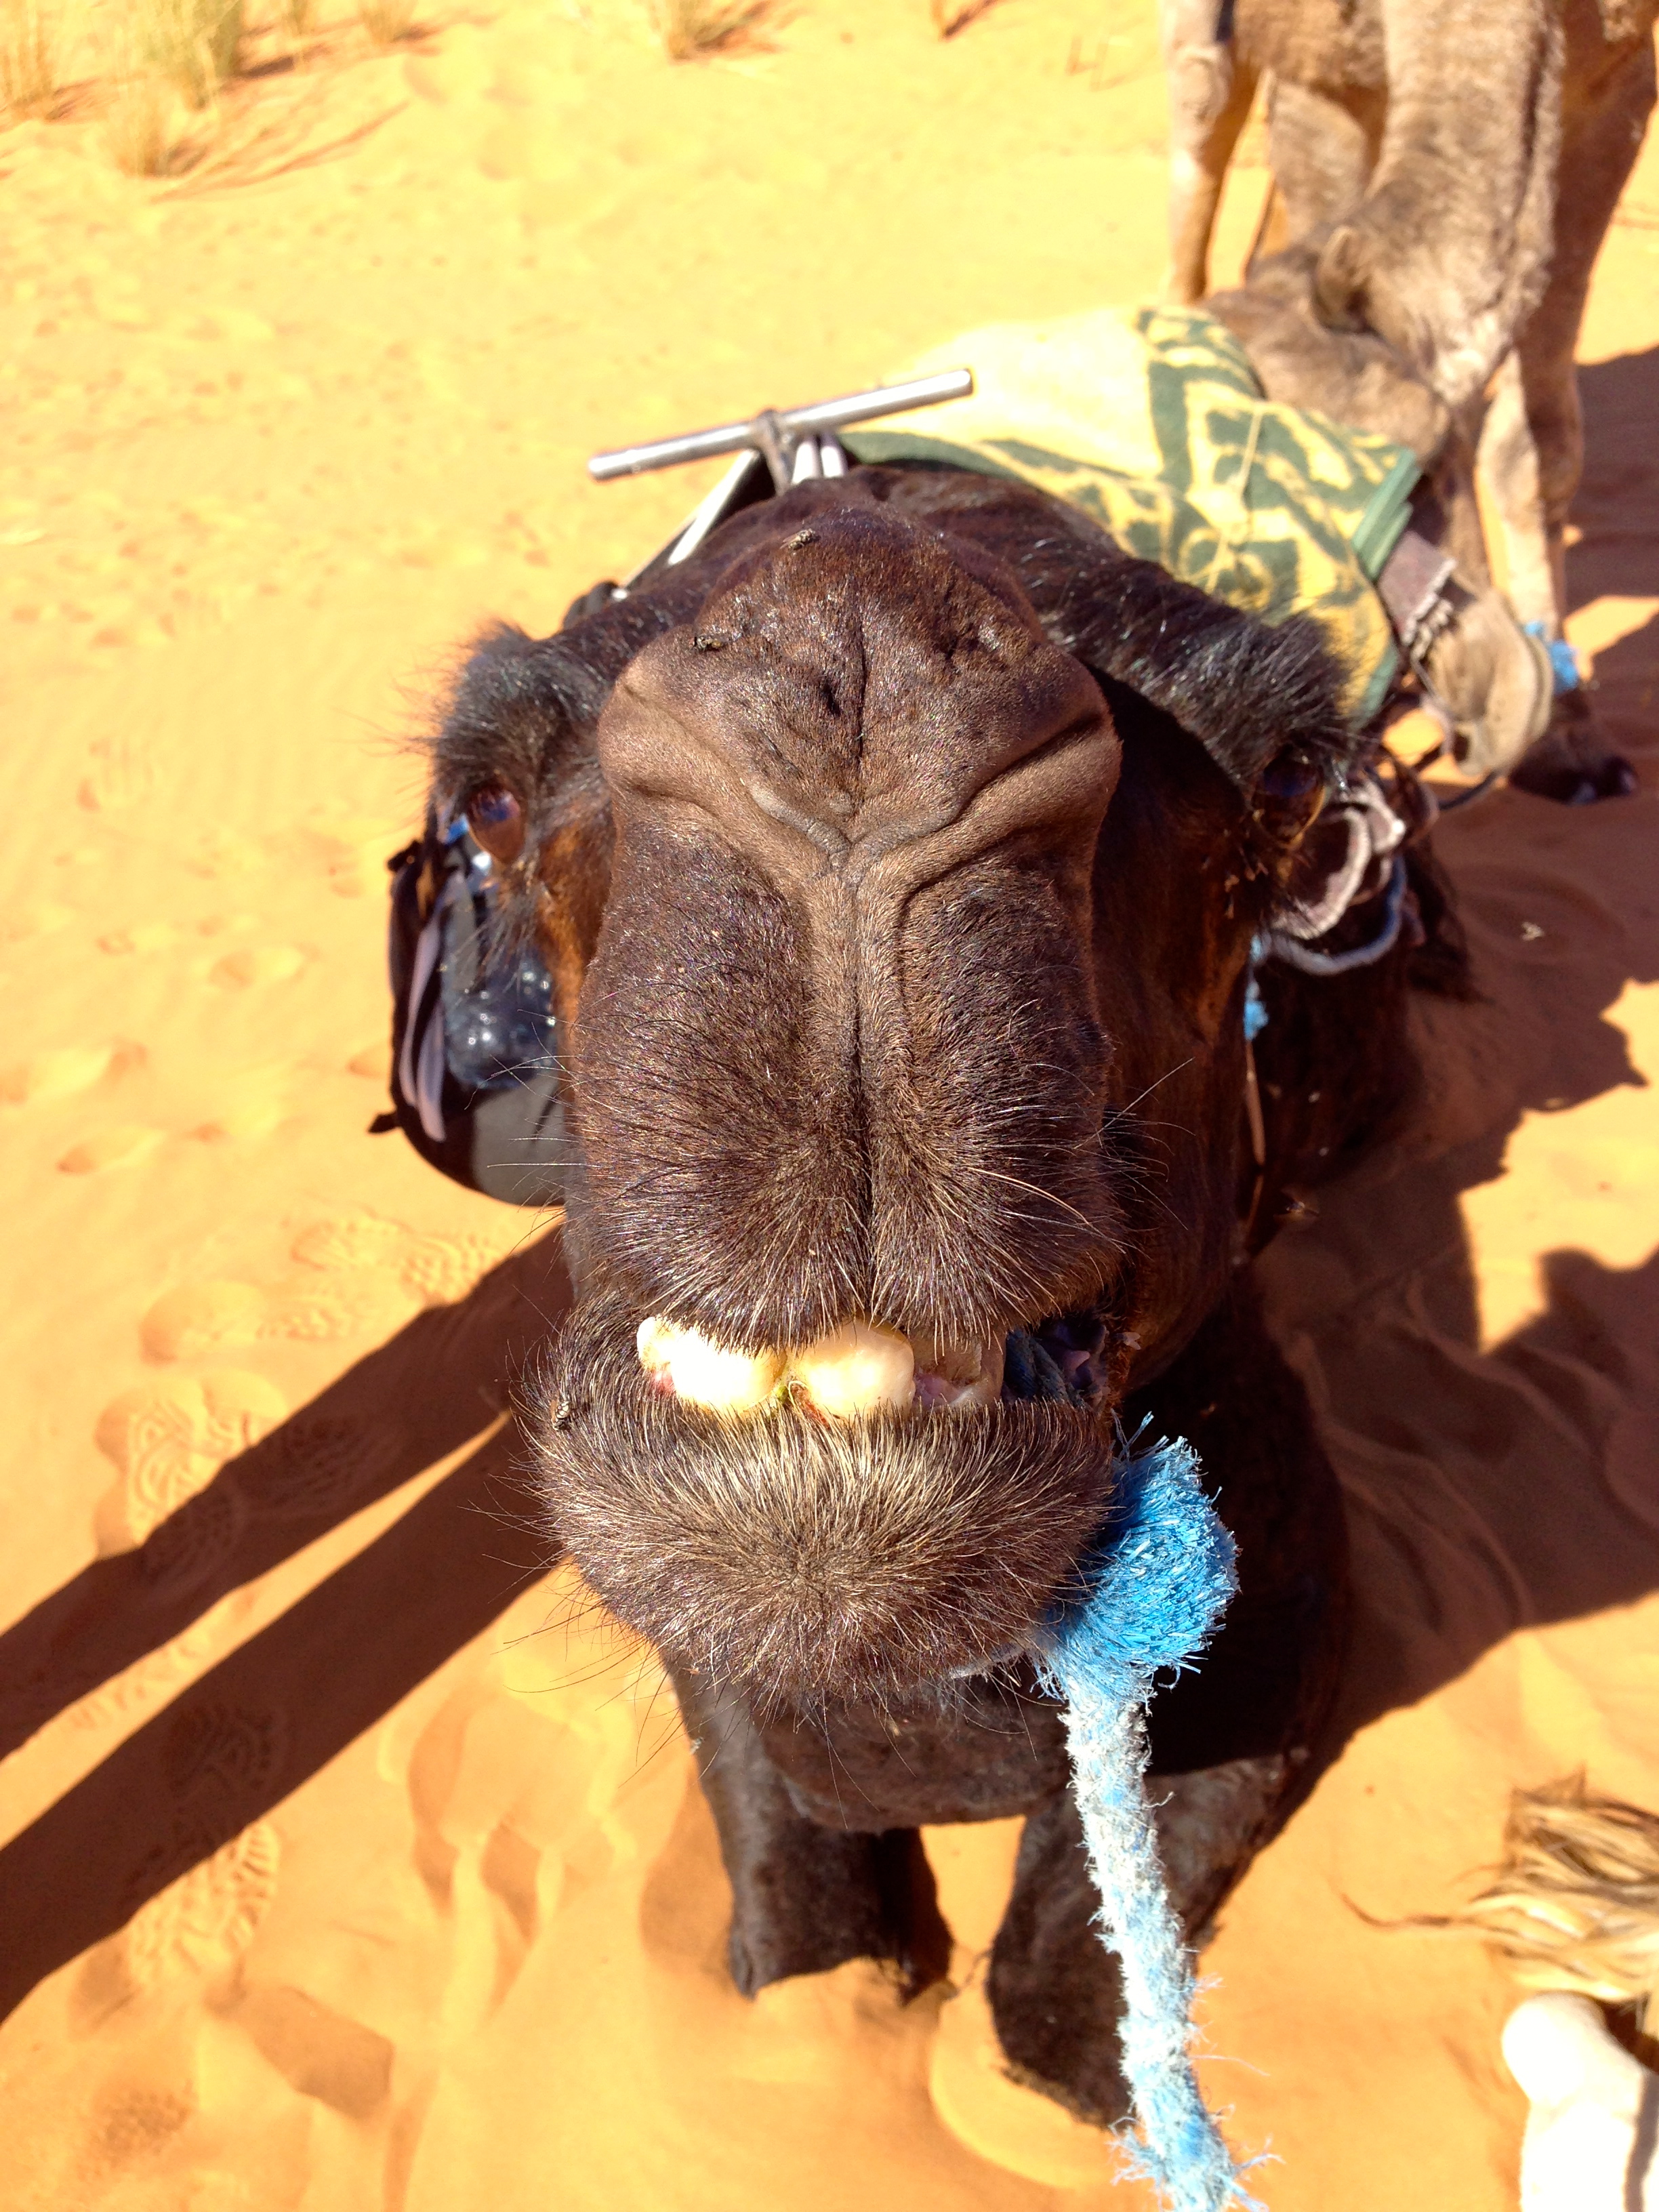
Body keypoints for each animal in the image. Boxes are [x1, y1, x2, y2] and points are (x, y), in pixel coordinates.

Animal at [426, 458, 1468, 2120]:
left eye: (1292, 782)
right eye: (490, 799)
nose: (853, 678)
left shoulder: (1296, 1615)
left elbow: (1063, 2025)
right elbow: (804, 1945)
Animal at [1159, 0, 1656, 803]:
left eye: (1418, 471)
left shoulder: (1618, 69)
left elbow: (1535, 448)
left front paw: (1570, 743)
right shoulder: (1324, 75)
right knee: (1199, 111)